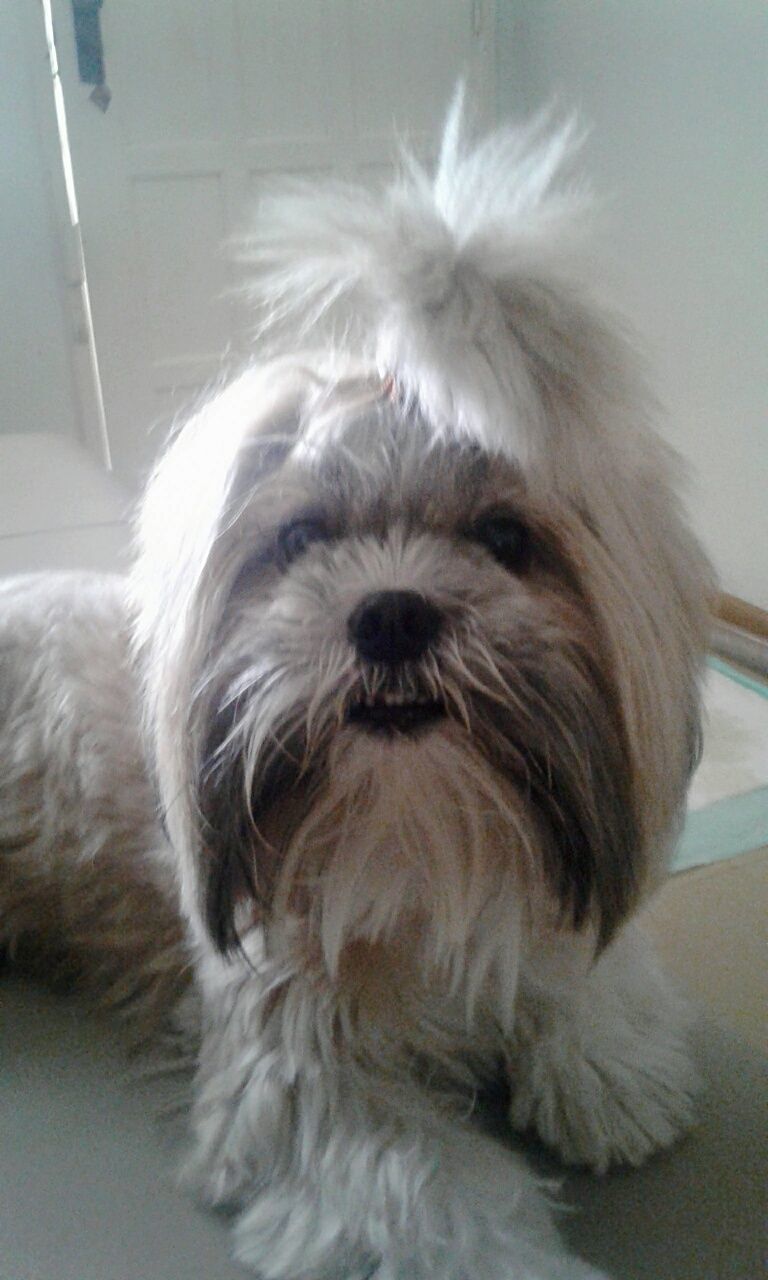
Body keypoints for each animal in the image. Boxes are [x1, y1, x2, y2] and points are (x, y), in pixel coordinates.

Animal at [0, 102, 711, 1280]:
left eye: (504, 537)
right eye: (300, 540)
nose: (390, 612)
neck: (418, 843)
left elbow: (584, 988)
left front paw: (602, 1061)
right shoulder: (298, 1072)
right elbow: (429, 1186)